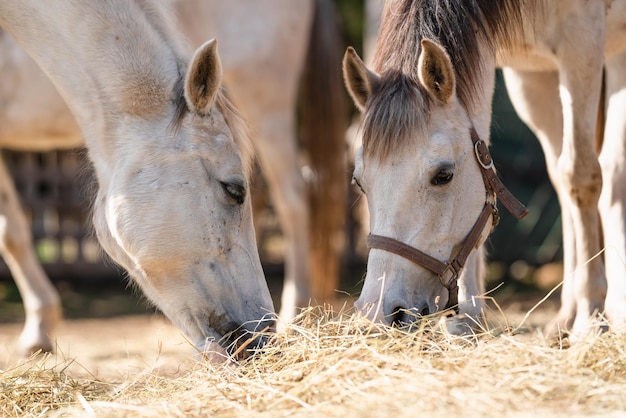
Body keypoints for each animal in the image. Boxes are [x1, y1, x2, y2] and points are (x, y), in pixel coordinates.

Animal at [344, 0, 624, 338]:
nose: (378, 311)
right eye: (360, 183)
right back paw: (566, 317)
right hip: (536, 78)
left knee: (610, 173)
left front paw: (590, 317)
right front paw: (466, 319)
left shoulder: (581, 38)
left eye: (443, 176)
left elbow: (581, 177)